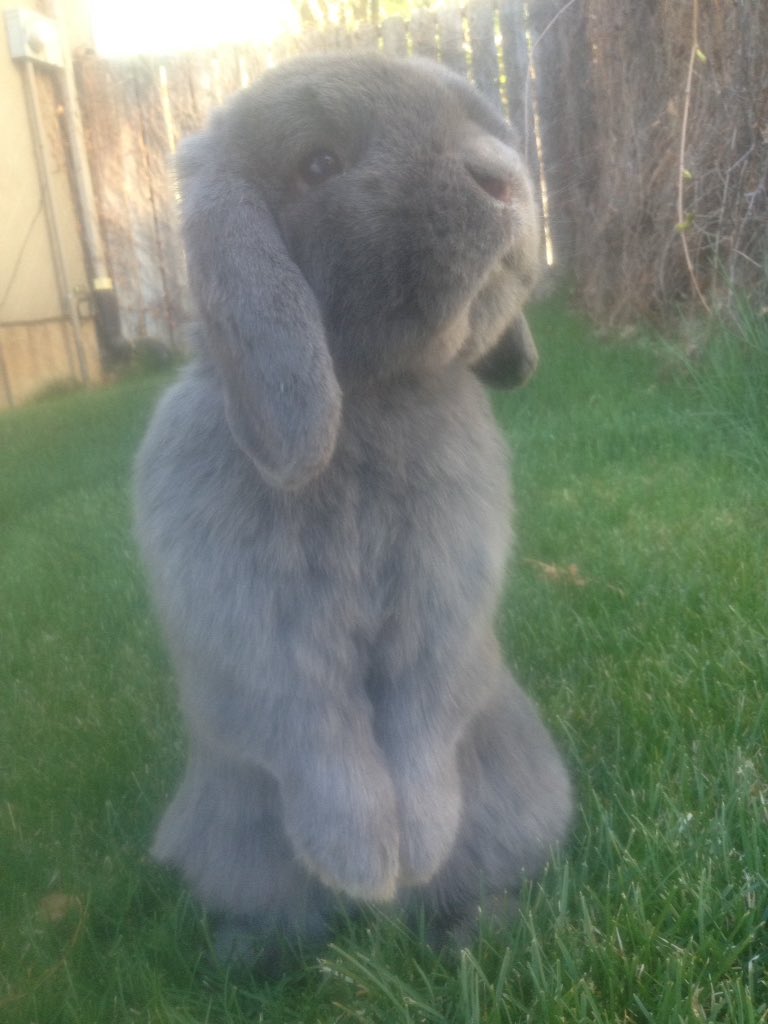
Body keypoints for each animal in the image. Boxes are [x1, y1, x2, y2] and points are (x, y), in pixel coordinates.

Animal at [134, 51, 572, 965]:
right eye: (318, 165)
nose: (505, 178)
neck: (370, 399)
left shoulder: (440, 614)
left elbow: (419, 721)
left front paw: (418, 852)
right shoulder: (262, 635)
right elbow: (317, 732)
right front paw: (365, 868)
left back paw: (466, 928)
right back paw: (251, 953)